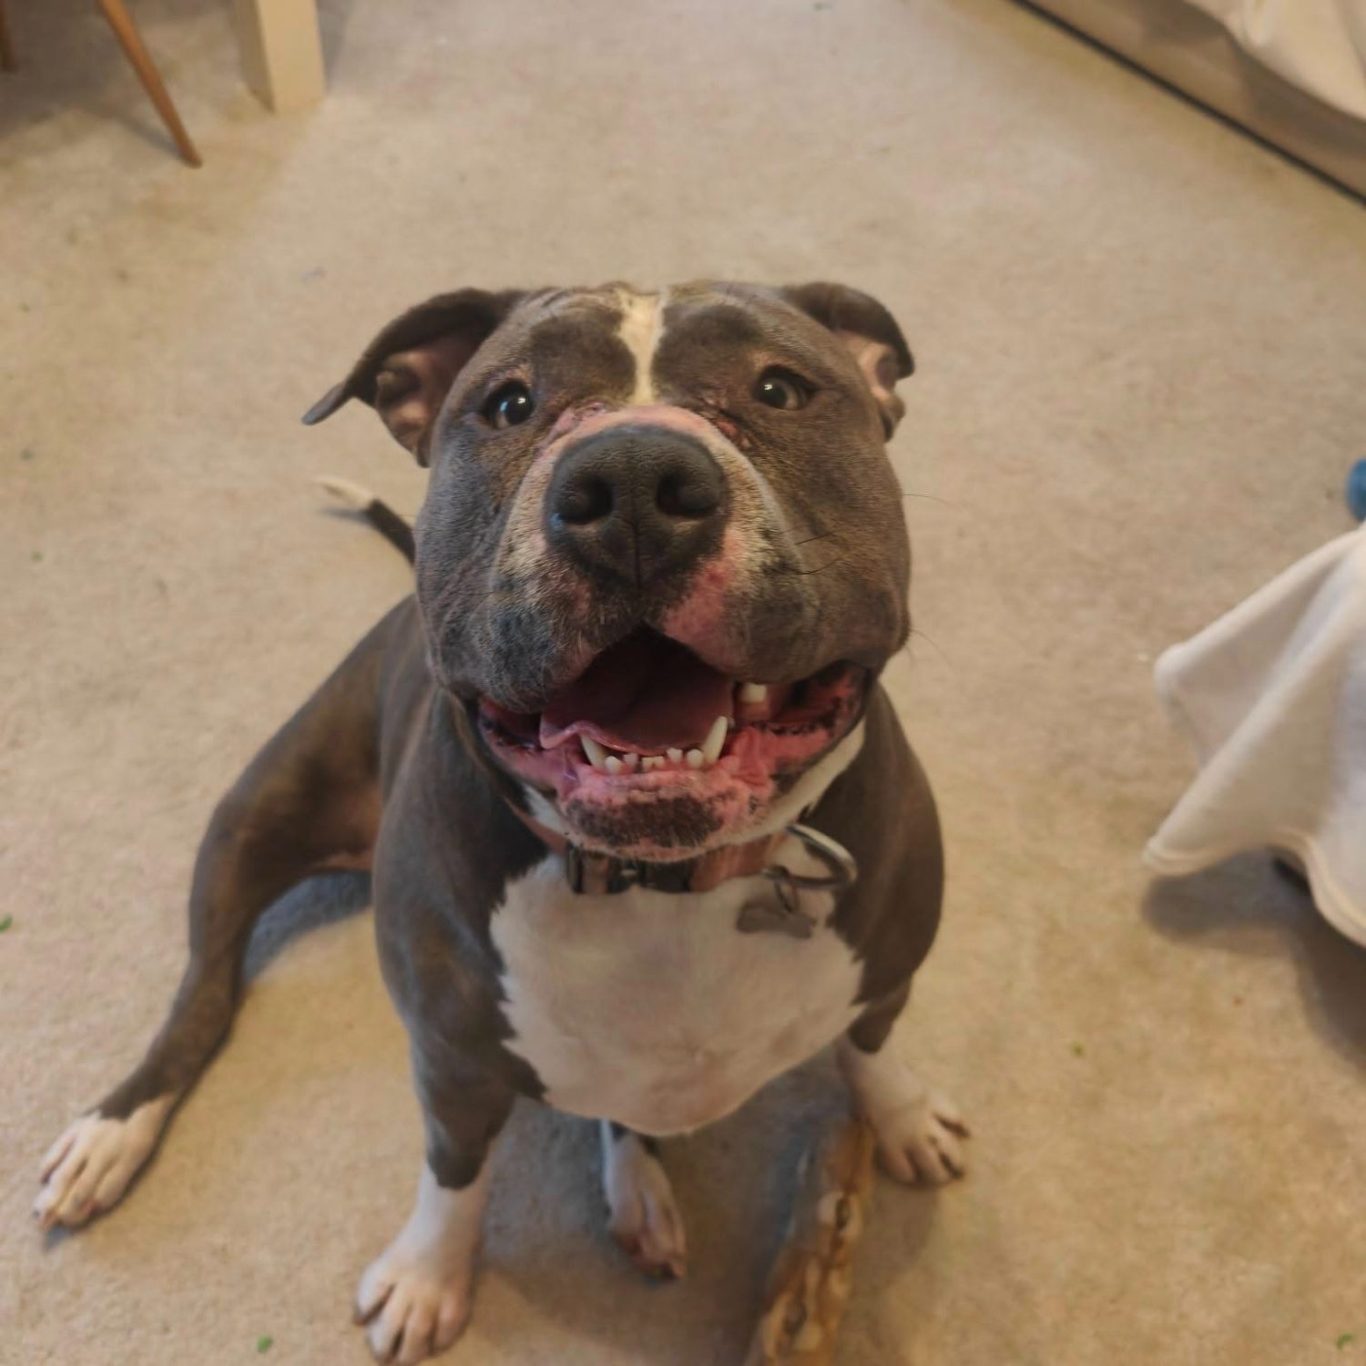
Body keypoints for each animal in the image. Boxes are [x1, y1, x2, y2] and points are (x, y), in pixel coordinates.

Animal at [35, 281, 967, 1364]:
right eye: (510, 404)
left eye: (779, 387)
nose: (633, 476)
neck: (667, 886)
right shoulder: (451, 1059)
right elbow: (455, 1171)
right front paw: (427, 1276)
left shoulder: (890, 969)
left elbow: (872, 1050)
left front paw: (904, 1118)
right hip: (249, 820)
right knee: (204, 998)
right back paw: (111, 1134)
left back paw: (638, 1192)